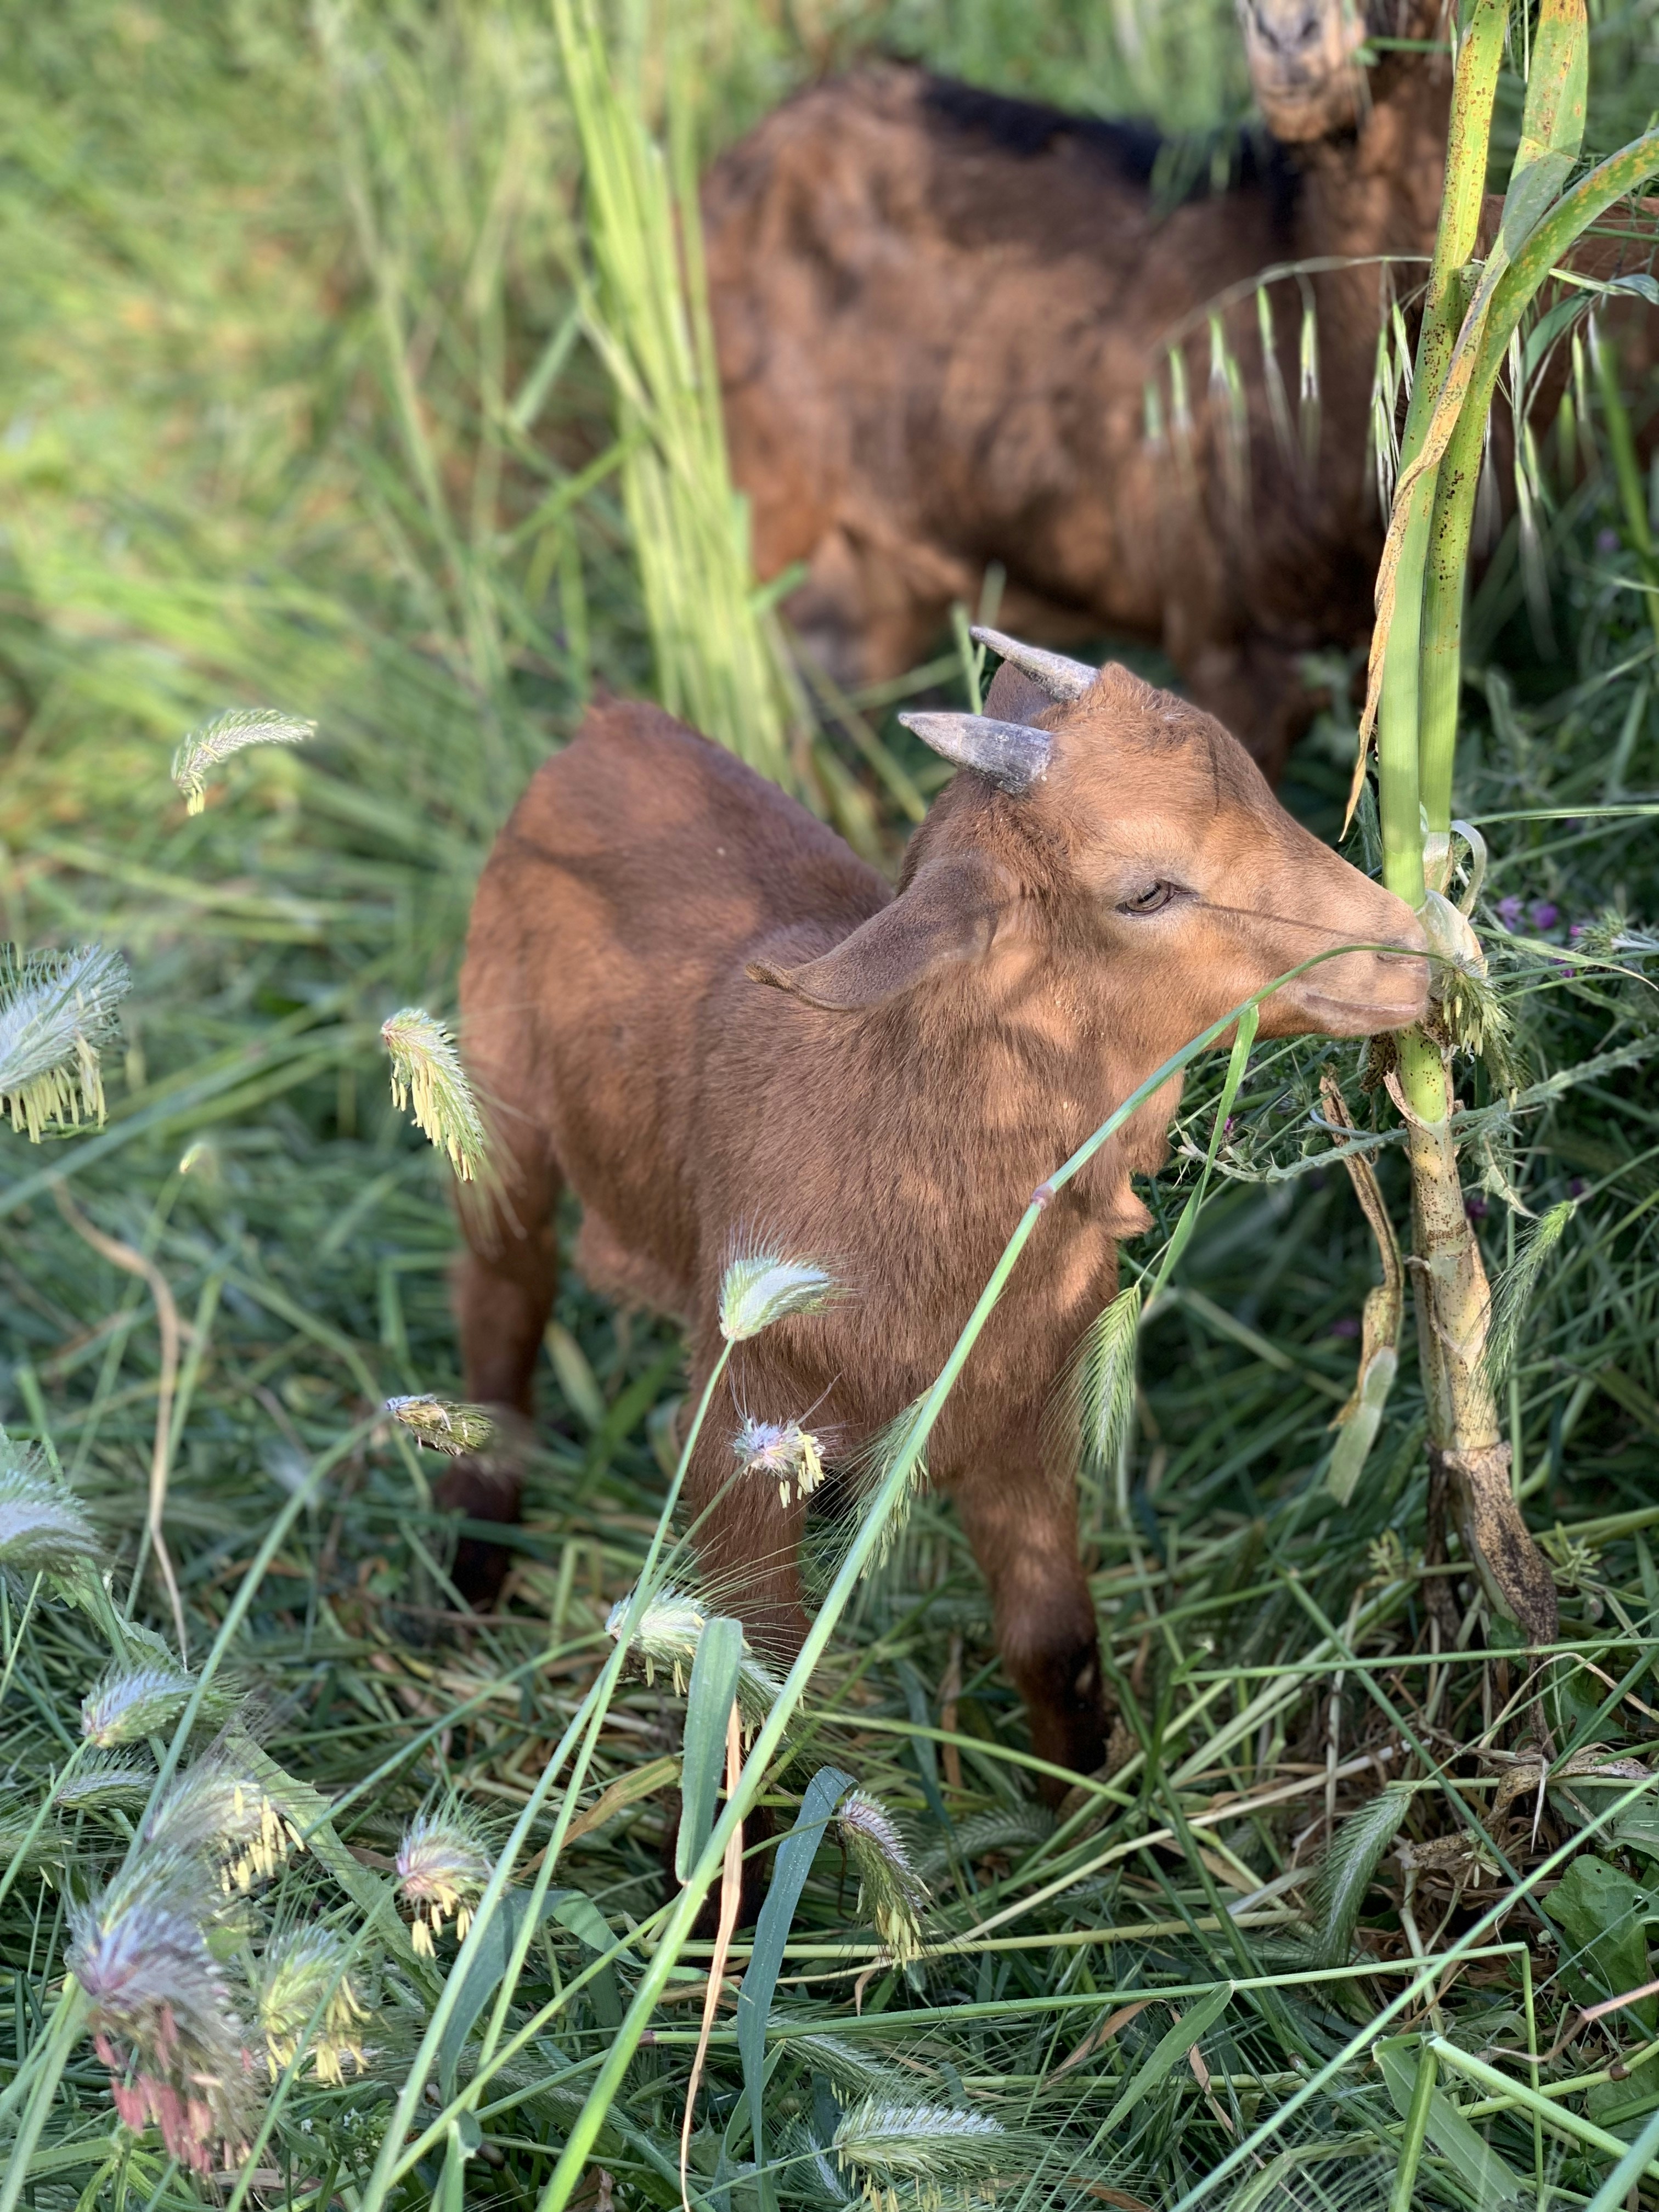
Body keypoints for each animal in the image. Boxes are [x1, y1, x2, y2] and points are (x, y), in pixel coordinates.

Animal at [442, 634, 1428, 1793]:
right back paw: (473, 1556)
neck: (888, 1131)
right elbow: (749, 1684)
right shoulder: (733, 1433)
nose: (1411, 951)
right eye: (1146, 890)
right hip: (494, 1095)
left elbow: (1053, 1642)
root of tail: (611, 722)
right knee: (502, 1291)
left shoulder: (1024, 1418)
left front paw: (1084, 1810)